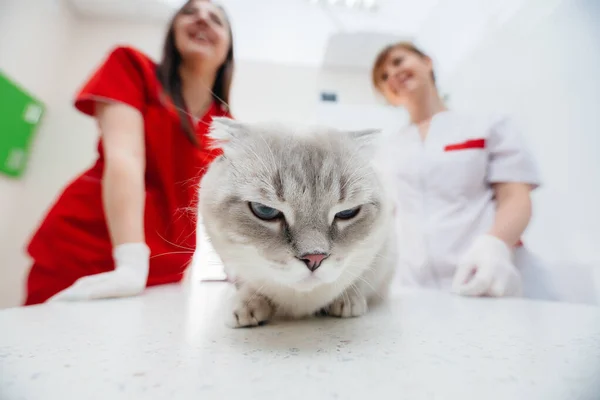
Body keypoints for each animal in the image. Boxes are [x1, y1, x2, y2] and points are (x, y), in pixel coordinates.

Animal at [198, 116, 398, 328]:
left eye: (347, 212)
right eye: (265, 211)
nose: (314, 259)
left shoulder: (382, 251)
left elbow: (358, 278)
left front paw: (347, 299)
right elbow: (251, 284)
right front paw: (247, 304)